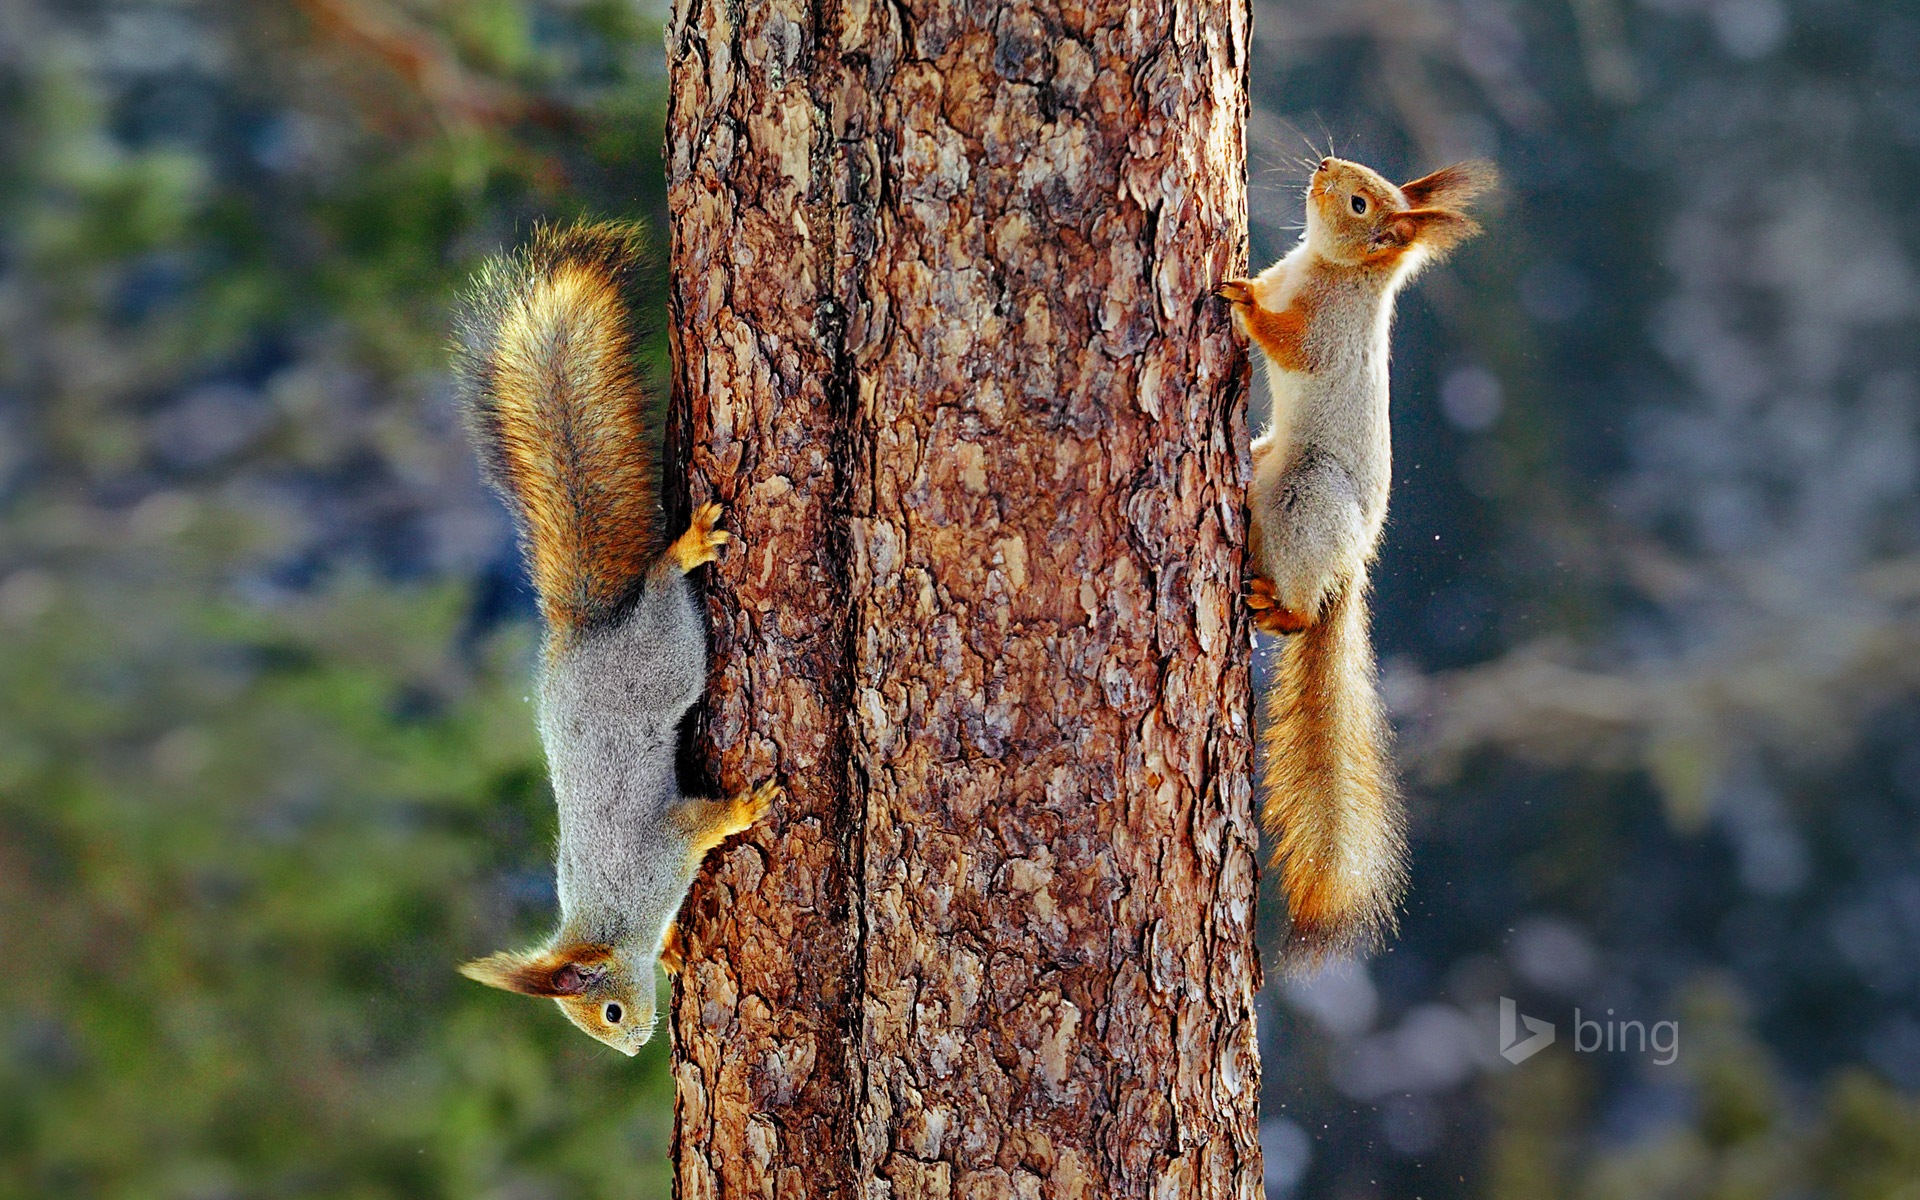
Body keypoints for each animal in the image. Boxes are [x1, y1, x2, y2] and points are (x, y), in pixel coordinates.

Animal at [453, 219, 775, 1052]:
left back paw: (683, 550)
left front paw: (743, 810)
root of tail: (587, 633)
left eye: (608, 1013)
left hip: (664, 655)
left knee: (662, 586)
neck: (610, 919)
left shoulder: (658, 855)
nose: (633, 1046)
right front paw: (676, 948)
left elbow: (701, 825)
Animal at [1213, 156, 1497, 963]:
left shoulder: (1326, 339)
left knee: (1302, 613)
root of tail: (1350, 567)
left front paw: (1241, 297)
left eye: (1362, 202)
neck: (1328, 269)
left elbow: (1286, 343)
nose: (1323, 167)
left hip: (1310, 499)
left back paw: (1280, 607)